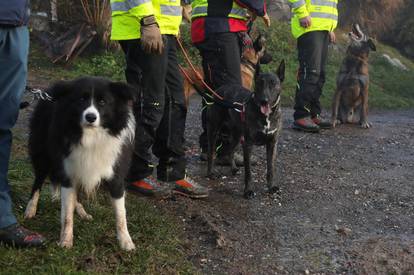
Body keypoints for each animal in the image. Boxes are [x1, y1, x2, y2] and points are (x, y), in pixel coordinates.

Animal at [24, 76, 137, 251]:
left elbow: (121, 213)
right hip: (43, 153)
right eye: (81, 100)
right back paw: (31, 208)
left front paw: (126, 241)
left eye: (103, 102)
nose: (91, 117)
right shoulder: (67, 172)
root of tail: (46, 93)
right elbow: (67, 214)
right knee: (38, 181)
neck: (91, 136)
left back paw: (81, 210)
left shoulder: (116, 175)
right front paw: (65, 241)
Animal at [206, 61, 284, 198]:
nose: (264, 101)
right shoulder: (248, 144)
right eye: (259, 83)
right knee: (211, 153)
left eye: (273, 84)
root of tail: (219, 90)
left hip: (237, 135)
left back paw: (233, 168)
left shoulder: (272, 144)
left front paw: (271, 187)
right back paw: (211, 173)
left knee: (230, 149)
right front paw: (248, 191)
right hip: (214, 131)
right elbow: (248, 172)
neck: (266, 116)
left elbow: (271, 169)